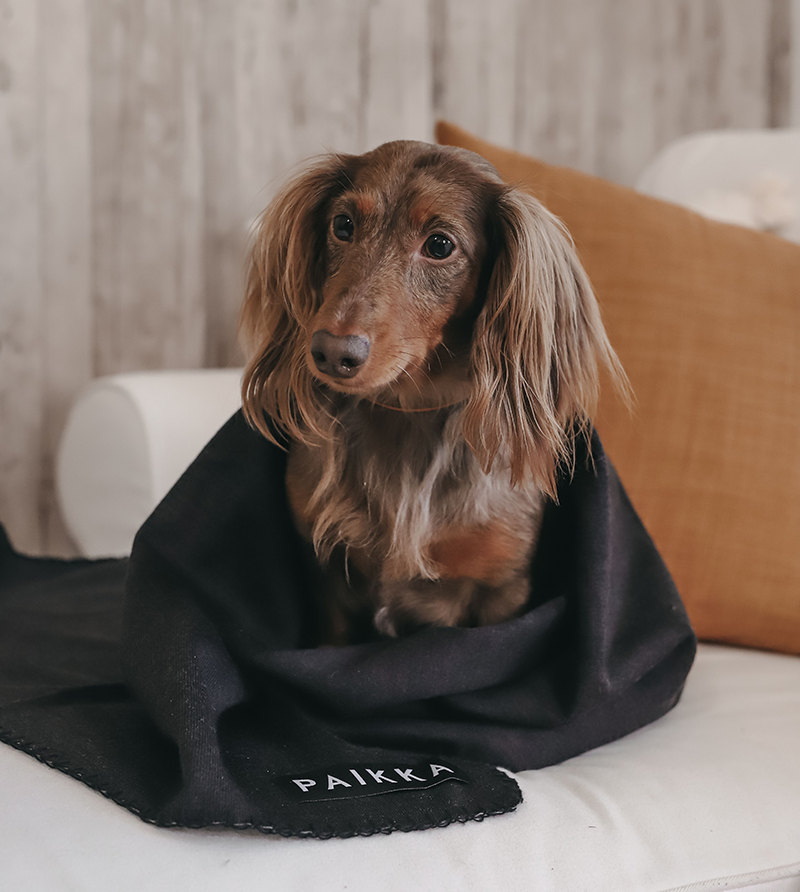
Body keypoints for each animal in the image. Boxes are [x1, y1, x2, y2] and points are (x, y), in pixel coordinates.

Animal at [238, 139, 624, 640]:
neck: (406, 411)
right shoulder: (328, 583)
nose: (331, 352)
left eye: (439, 245)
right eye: (343, 225)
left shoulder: (502, 591)